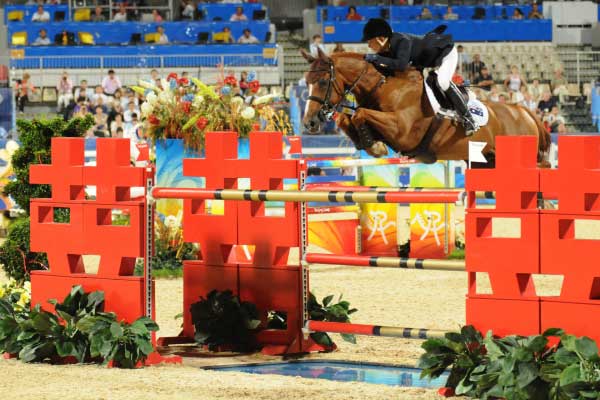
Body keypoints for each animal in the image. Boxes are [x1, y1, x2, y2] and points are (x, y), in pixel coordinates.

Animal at [302, 49, 552, 166]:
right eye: (306, 81)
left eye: (322, 82)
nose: (309, 123)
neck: (384, 86)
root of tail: (524, 112)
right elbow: (347, 119)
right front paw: (372, 144)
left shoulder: (403, 131)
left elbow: (360, 114)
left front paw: (376, 147)